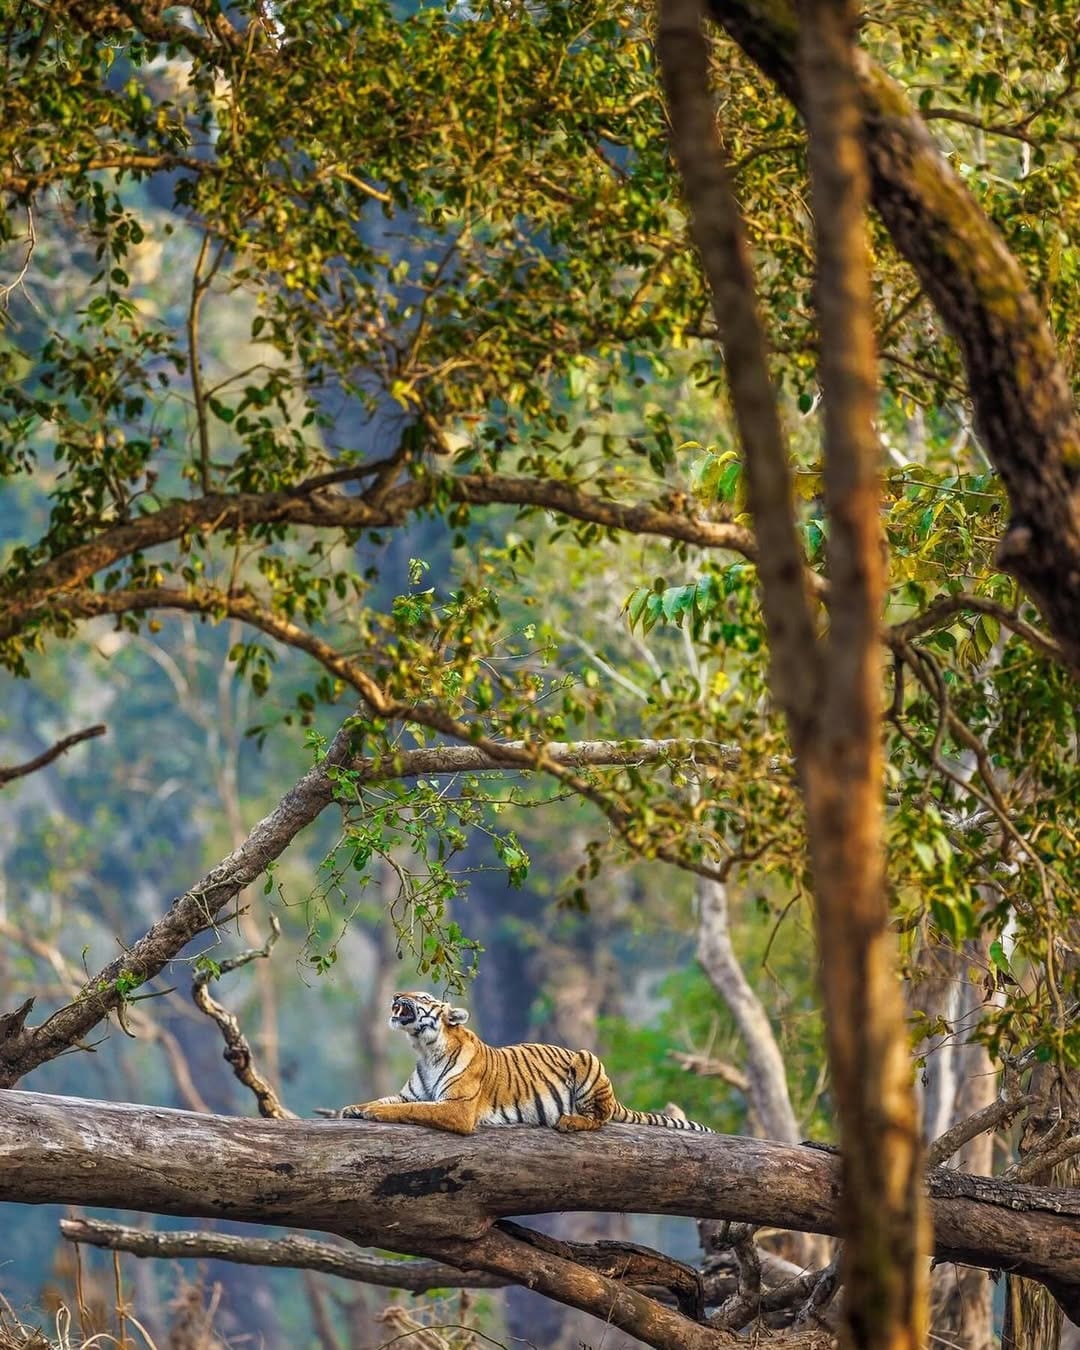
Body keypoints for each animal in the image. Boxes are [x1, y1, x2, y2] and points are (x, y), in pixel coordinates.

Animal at [338, 990, 714, 1136]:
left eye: (424, 997)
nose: (396, 994)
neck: (425, 1048)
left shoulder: (457, 1108)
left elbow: (412, 1110)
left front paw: (373, 1113)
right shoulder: (410, 1094)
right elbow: (390, 1099)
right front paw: (354, 1108)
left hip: (588, 1059)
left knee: (601, 1117)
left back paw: (570, 1121)